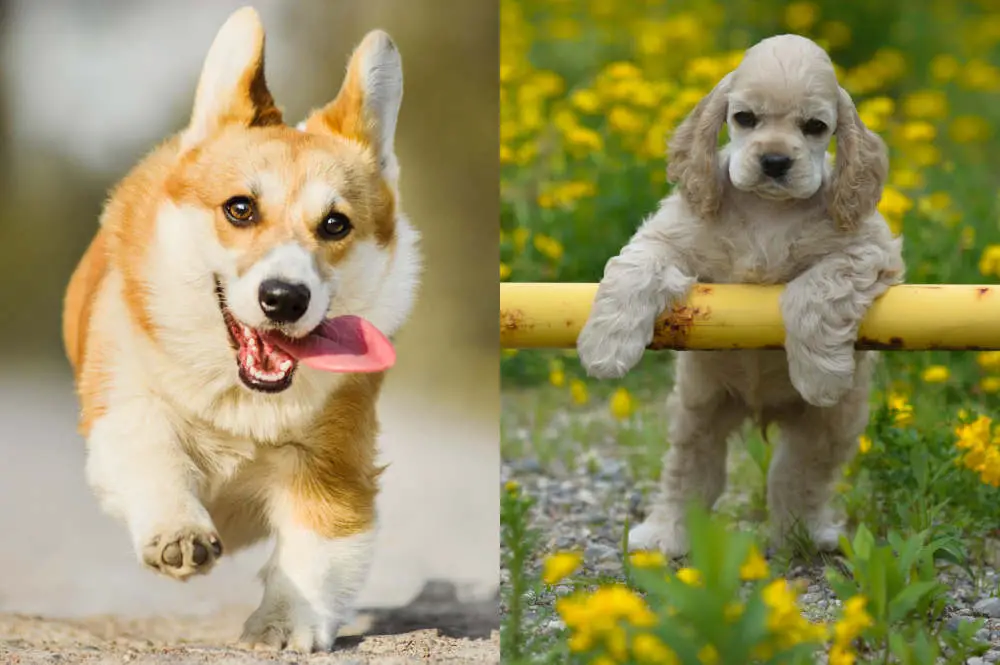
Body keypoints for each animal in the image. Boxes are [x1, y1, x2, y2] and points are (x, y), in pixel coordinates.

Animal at [576, 35, 904, 556]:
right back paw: (664, 534)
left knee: (797, 476)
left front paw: (819, 373)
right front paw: (606, 349)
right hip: (697, 410)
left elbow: (814, 290)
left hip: (832, 426)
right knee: (691, 472)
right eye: (745, 118)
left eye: (815, 127)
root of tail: (759, 410)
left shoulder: (869, 251)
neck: (768, 210)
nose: (775, 161)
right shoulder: (670, 236)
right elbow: (634, 269)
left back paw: (804, 536)